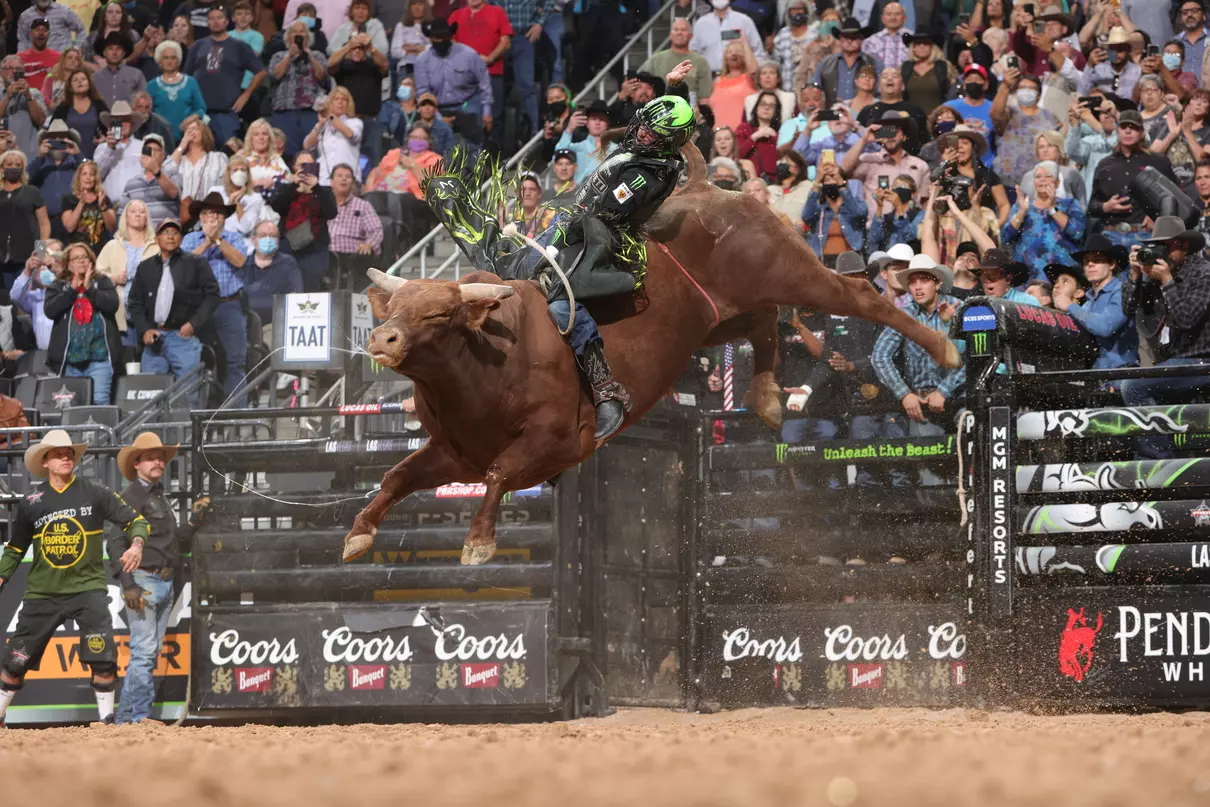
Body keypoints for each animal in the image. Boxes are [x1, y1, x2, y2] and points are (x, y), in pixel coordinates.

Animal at [346, 143, 958, 561]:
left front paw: (477, 543)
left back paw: (946, 349)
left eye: (440, 315)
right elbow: (397, 476)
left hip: (788, 269)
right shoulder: (454, 454)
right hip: (714, 320)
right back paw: (765, 397)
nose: (382, 339)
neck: (491, 364)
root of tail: (707, 187)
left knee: (857, 299)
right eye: (392, 307)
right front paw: (358, 534)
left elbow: (498, 474)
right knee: (763, 325)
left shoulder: (555, 443)